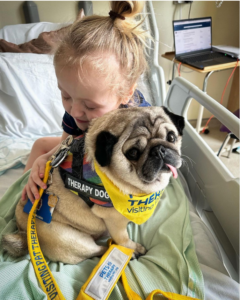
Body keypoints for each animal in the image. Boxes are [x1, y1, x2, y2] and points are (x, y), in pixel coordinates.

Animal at [2, 106, 184, 264]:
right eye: (133, 153)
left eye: (171, 137)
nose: (159, 150)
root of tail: (24, 232)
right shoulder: (115, 221)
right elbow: (123, 239)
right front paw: (132, 247)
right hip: (70, 239)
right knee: (98, 250)